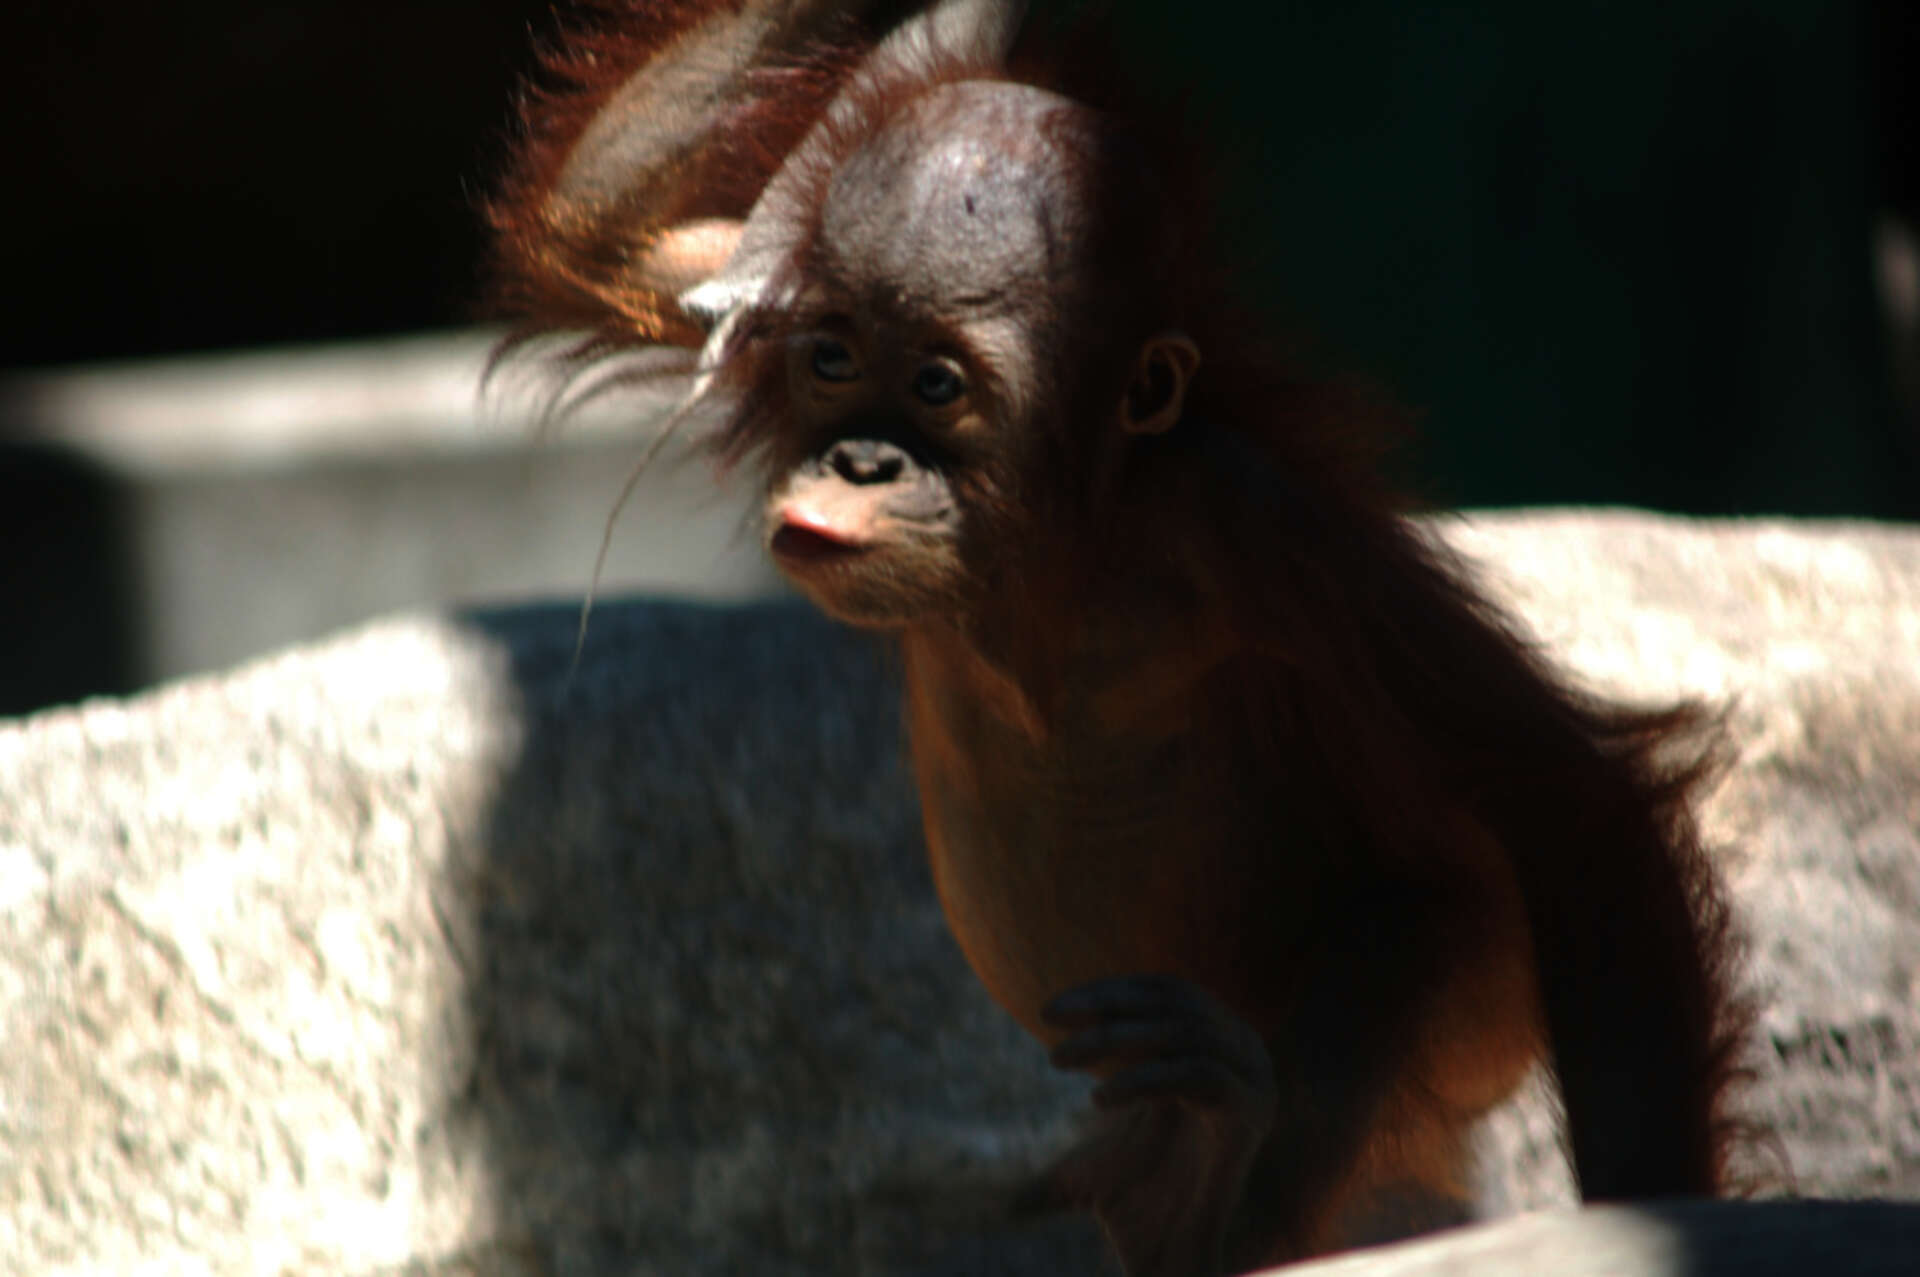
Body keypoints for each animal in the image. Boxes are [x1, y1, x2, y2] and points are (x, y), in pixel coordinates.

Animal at [489, 5, 1752, 1272]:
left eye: (938, 383)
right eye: (832, 358)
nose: (860, 459)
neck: (1047, 548)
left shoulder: (1262, 527)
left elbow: (1570, 804)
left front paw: (1652, 1217)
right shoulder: (736, 303)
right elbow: (603, 231)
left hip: (1465, 978)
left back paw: (1220, 1168)